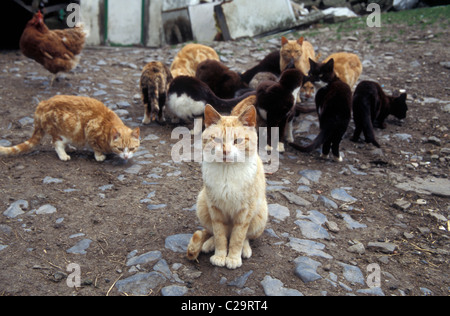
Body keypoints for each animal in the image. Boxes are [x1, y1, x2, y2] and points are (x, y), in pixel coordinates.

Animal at [0, 95, 140, 162]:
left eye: (132, 149)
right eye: (120, 148)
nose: (126, 157)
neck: (108, 127)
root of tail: (42, 104)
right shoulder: (90, 130)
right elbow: (96, 147)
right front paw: (100, 156)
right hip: (59, 132)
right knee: (56, 143)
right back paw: (63, 154)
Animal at [186, 103, 268, 270]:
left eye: (237, 140)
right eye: (216, 139)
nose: (225, 151)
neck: (227, 171)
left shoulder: (244, 213)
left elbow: (237, 238)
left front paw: (233, 258)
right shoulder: (215, 210)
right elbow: (219, 235)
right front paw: (220, 255)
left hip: (260, 214)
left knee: (245, 237)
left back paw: (245, 249)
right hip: (202, 203)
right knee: (213, 232)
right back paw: (208, 244)